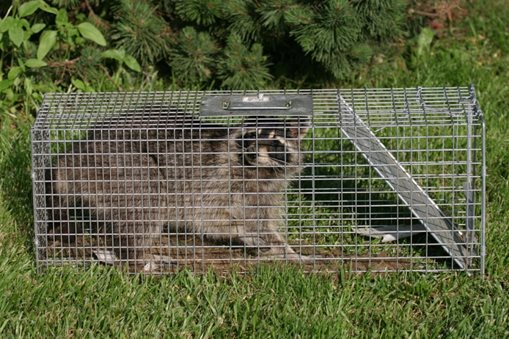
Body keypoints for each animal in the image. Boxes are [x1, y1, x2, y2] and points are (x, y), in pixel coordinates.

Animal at [48, 112, 310, 270]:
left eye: (275, 141)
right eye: (251, 136)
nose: (253, 152)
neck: (258, 170)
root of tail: (75, 154)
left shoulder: (266, 193)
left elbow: (263, 225)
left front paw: (289, 252)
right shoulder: (214, 179)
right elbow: (211, 220)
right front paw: (240, 231)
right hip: (121, 164)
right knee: (149, 196)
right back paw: (138, 256)